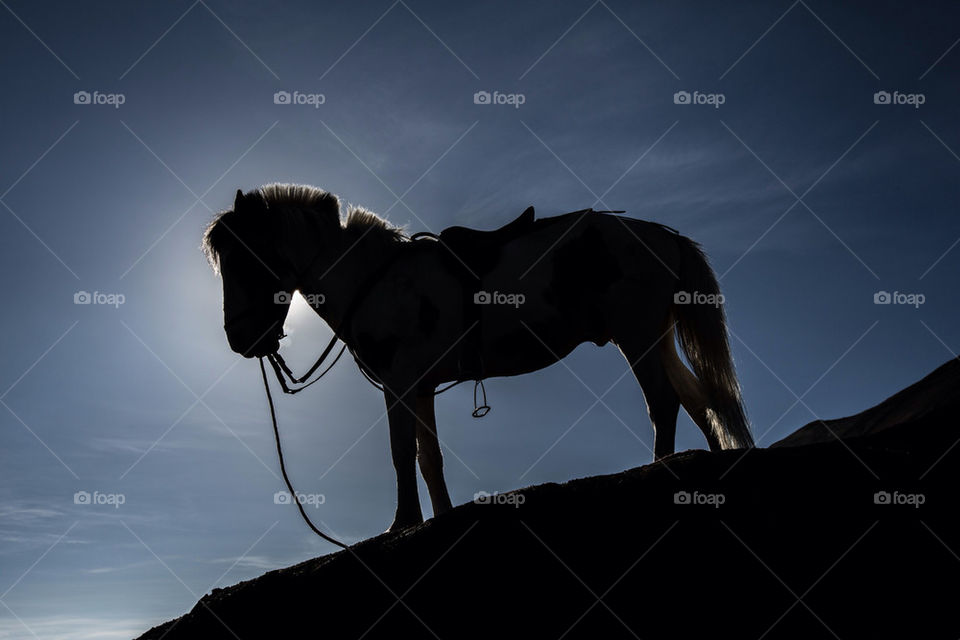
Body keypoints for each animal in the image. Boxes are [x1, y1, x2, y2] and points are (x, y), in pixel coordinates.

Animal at [202, 184, 752, 528]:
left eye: (243, 258)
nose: (240, 339)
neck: (371, 279)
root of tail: (664, 236)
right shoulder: (421, 388)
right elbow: (430, 458)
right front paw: (438, 516)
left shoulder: (399, 383)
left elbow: (401, 453)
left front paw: (402, 522)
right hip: (654, 338)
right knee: (699, 400)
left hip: (635, 336)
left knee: (663, 401)